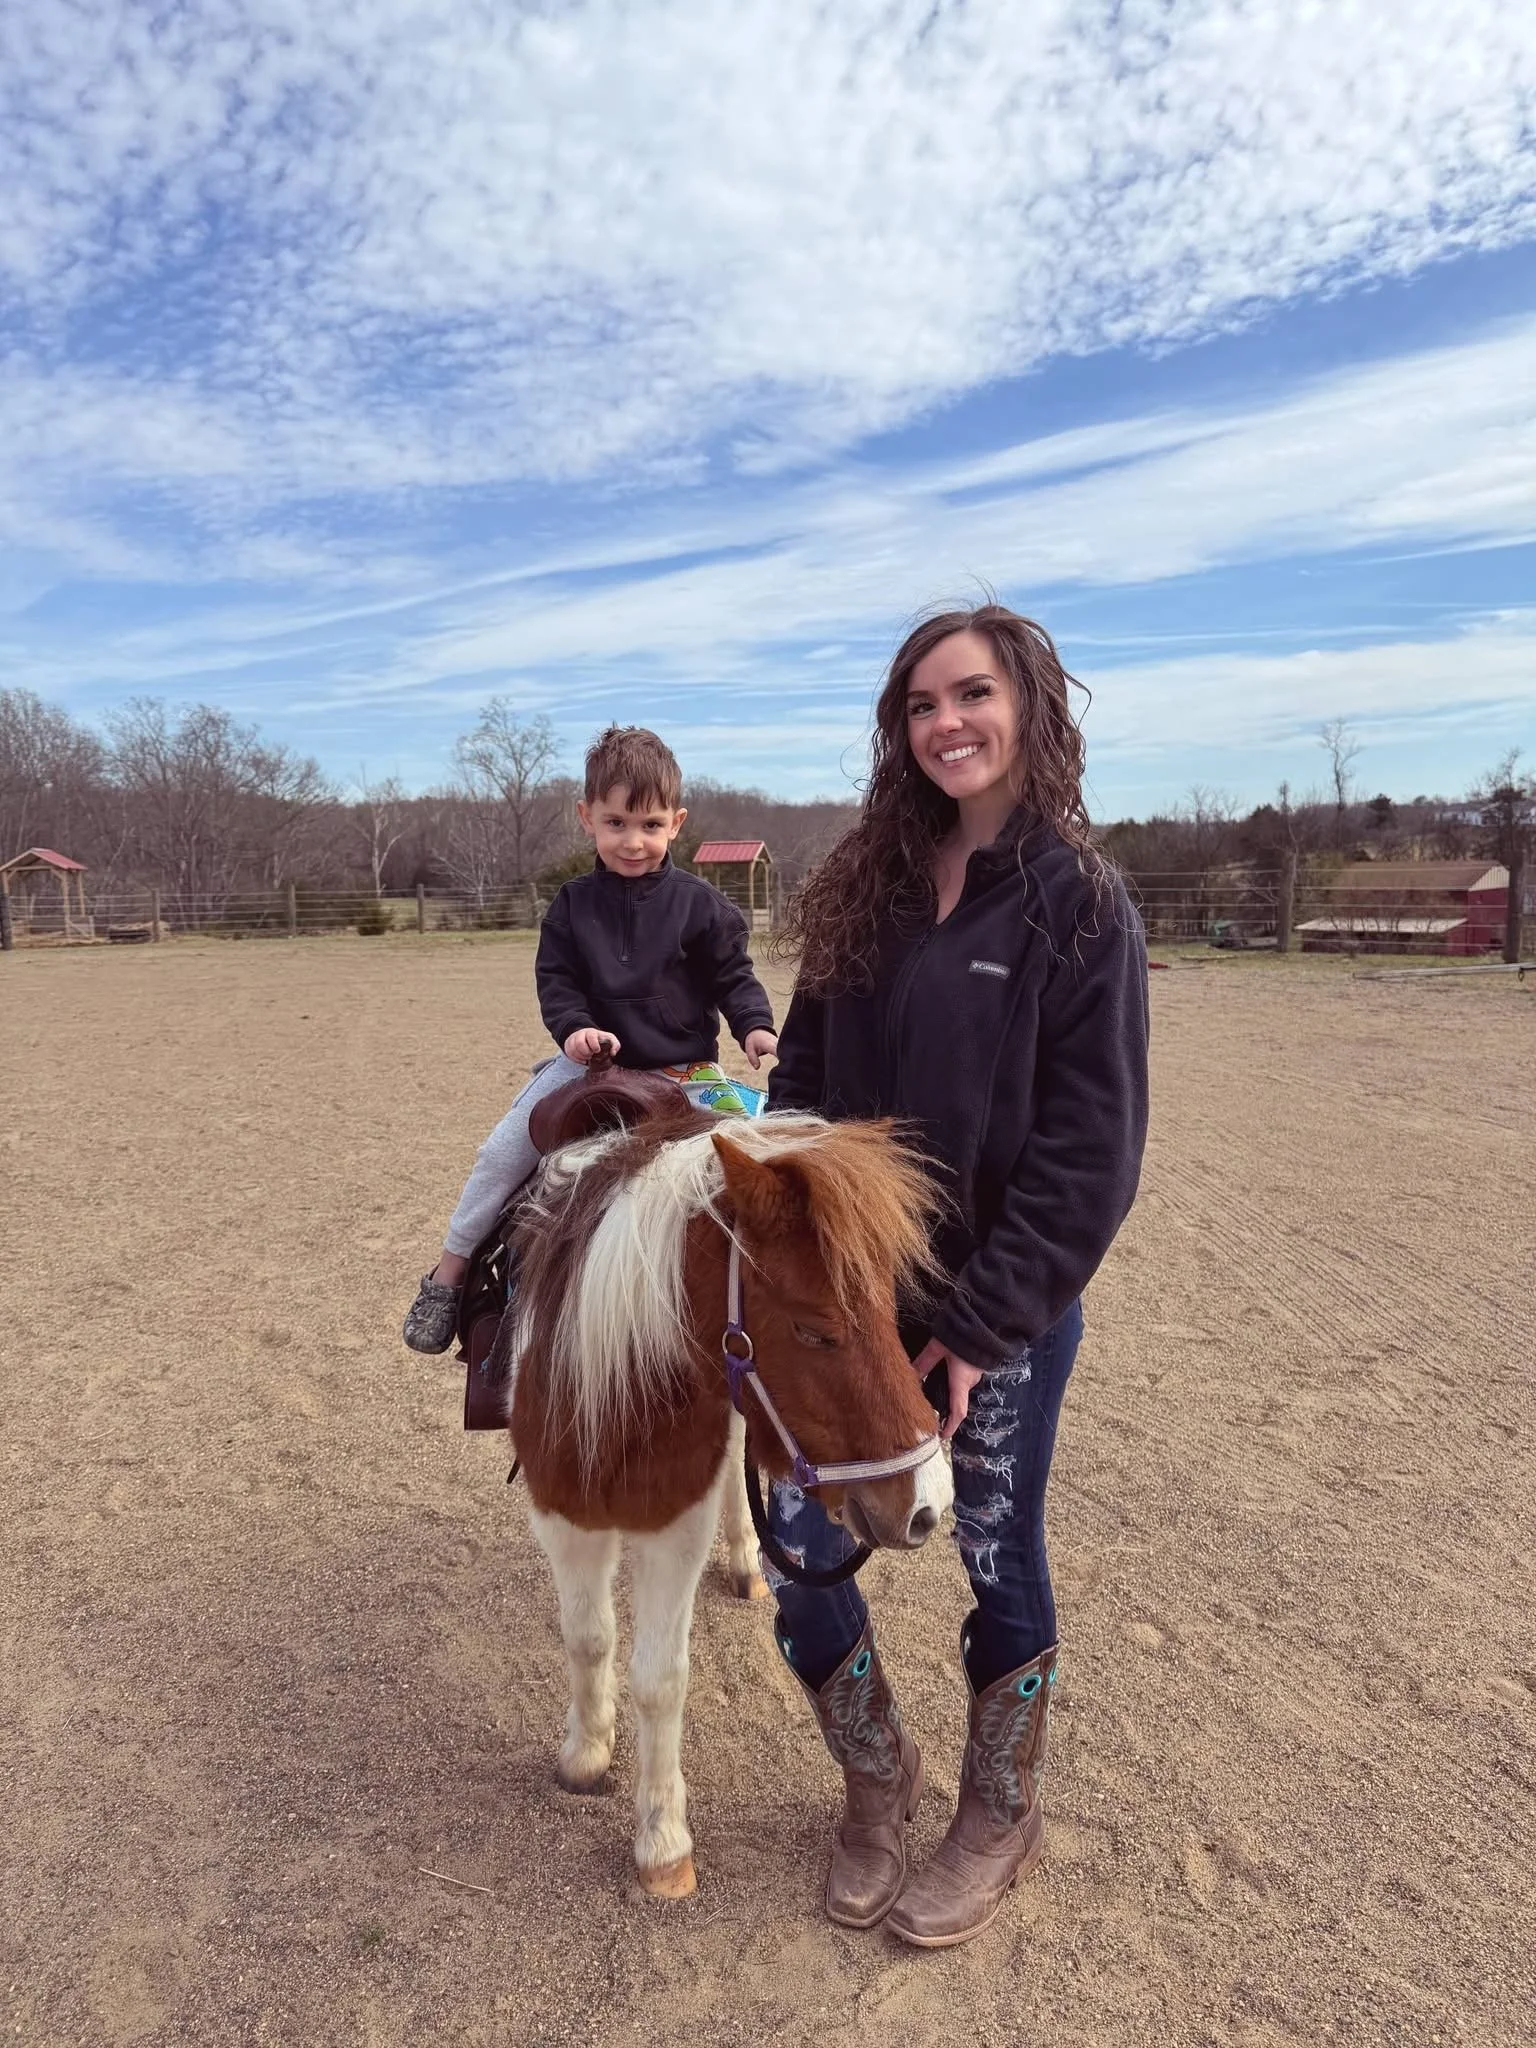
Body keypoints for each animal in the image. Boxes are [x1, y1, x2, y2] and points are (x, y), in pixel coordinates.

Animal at [502, 1103, 954, 1898]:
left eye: (888, 1310)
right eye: (814, 1329)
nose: (930, 1503)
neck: (616, 1397)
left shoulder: (675, 1525)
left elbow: (660, 1679)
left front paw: (662, 1842)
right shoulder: (562, 1516)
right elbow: (588, 1639)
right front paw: (585, 1755)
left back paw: (747, 1559)